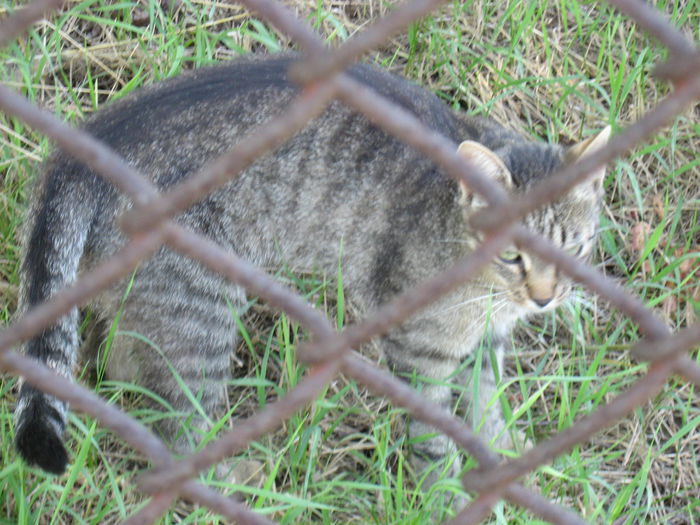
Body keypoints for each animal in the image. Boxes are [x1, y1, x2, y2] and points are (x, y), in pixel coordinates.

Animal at [13, 53, 608, 488]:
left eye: (575, 248)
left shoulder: (485, 345)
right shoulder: (418, 347)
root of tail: (85, 150)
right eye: (512, 256)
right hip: (202, 309)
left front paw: (510, 456)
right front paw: (444, 492)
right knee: (179, 423)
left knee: (124, 357)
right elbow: (433, 435)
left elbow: (488, 406)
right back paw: (233, 475)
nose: (545, 298)